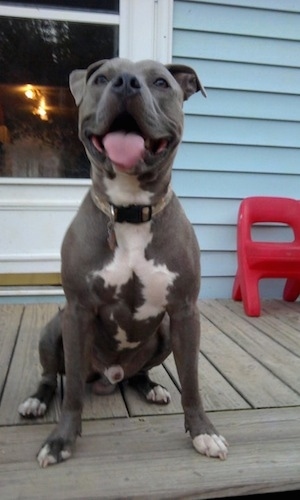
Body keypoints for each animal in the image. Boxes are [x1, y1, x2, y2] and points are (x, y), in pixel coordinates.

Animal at [18, 57, 227, 464]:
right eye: (101, 78)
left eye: (161, 82)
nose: (127, 82)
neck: (129, 211)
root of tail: (108, 378)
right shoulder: (77, 310)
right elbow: (72, 394)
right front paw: (61, 439)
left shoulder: (184, 312)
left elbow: (192, 382)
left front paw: (203, 432)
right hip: (54, 328)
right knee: (54, 377)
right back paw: (37, 401)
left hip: (164, 333)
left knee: (137, 374)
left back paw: (150, 387)